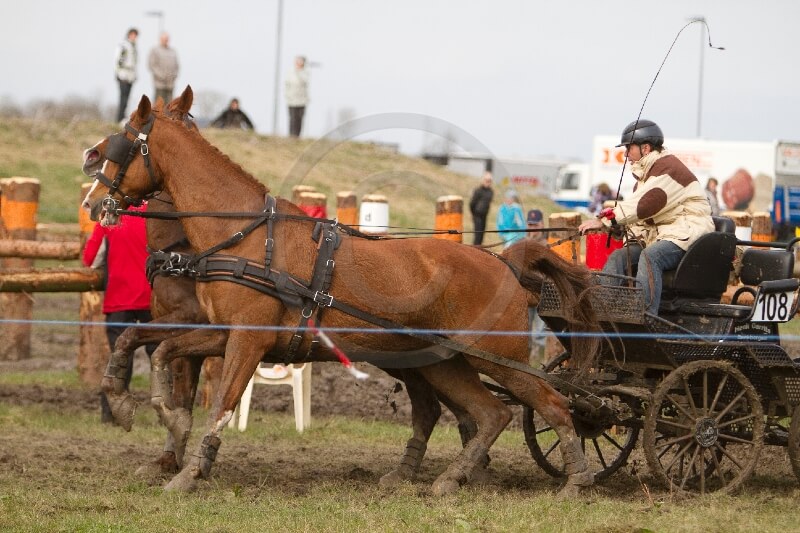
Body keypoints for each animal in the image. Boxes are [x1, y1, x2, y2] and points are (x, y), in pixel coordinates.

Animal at [83, 86, 599, 495]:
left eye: (123, 140)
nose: (91, 198)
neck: (243, 235)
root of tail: (503, 262)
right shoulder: (224, 332)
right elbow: (155, 348)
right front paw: (140, 407)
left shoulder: (247, 340)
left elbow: (222, 402)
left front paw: (188, 469)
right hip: (442, 361)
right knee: (488, 414)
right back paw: (449, 479)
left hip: (496, 356)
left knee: (552, 405)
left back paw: (575, 480)